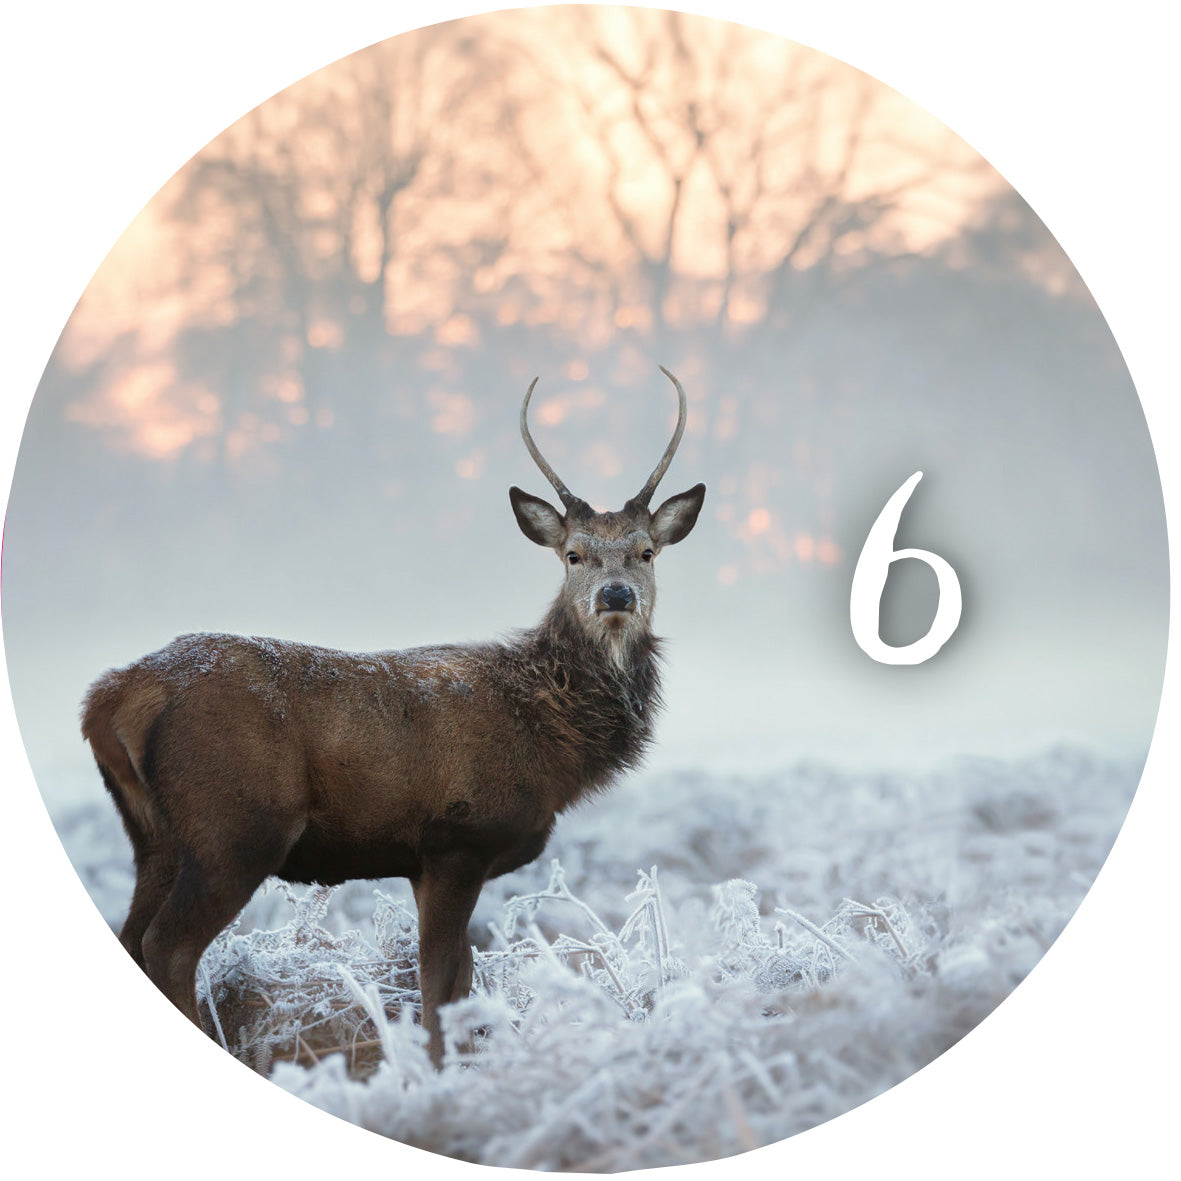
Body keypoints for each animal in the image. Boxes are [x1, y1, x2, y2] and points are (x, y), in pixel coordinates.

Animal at [81, 366, 705, 1068]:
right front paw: (437, 1074)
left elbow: (459, 981)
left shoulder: (429, 859)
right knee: (167, 945)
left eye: (647, 552)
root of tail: (109, 697)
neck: (550, 743)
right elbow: (438, 984)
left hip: (154, 834)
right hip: (235, 824)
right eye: (573, 554)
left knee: (132, 935)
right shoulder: (456, 838)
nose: (615, 595)